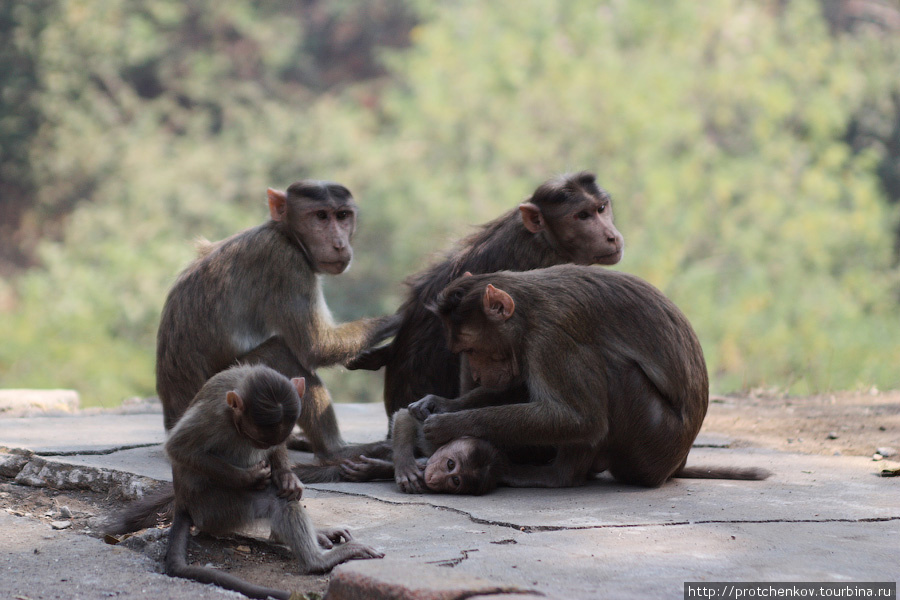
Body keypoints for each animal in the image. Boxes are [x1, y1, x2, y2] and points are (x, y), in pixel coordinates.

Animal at [108, 366, 384, 600]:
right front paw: (249, 477)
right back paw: (317, 562)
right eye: (257, 440)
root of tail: (184, 505)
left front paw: (287, 476)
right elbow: (178, 448)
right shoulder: (213, 417)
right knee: (277, 501)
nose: (264, 447)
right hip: (219, 509)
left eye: (271, 441)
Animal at [156, 180, 400, 458]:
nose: (339, 243)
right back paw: (334, 451)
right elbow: (317, 346)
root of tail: (171, 424)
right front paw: (403, 314)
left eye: (342, 216)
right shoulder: (286, 264)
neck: (284, 234)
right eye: (320, 216)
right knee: (279, 354)